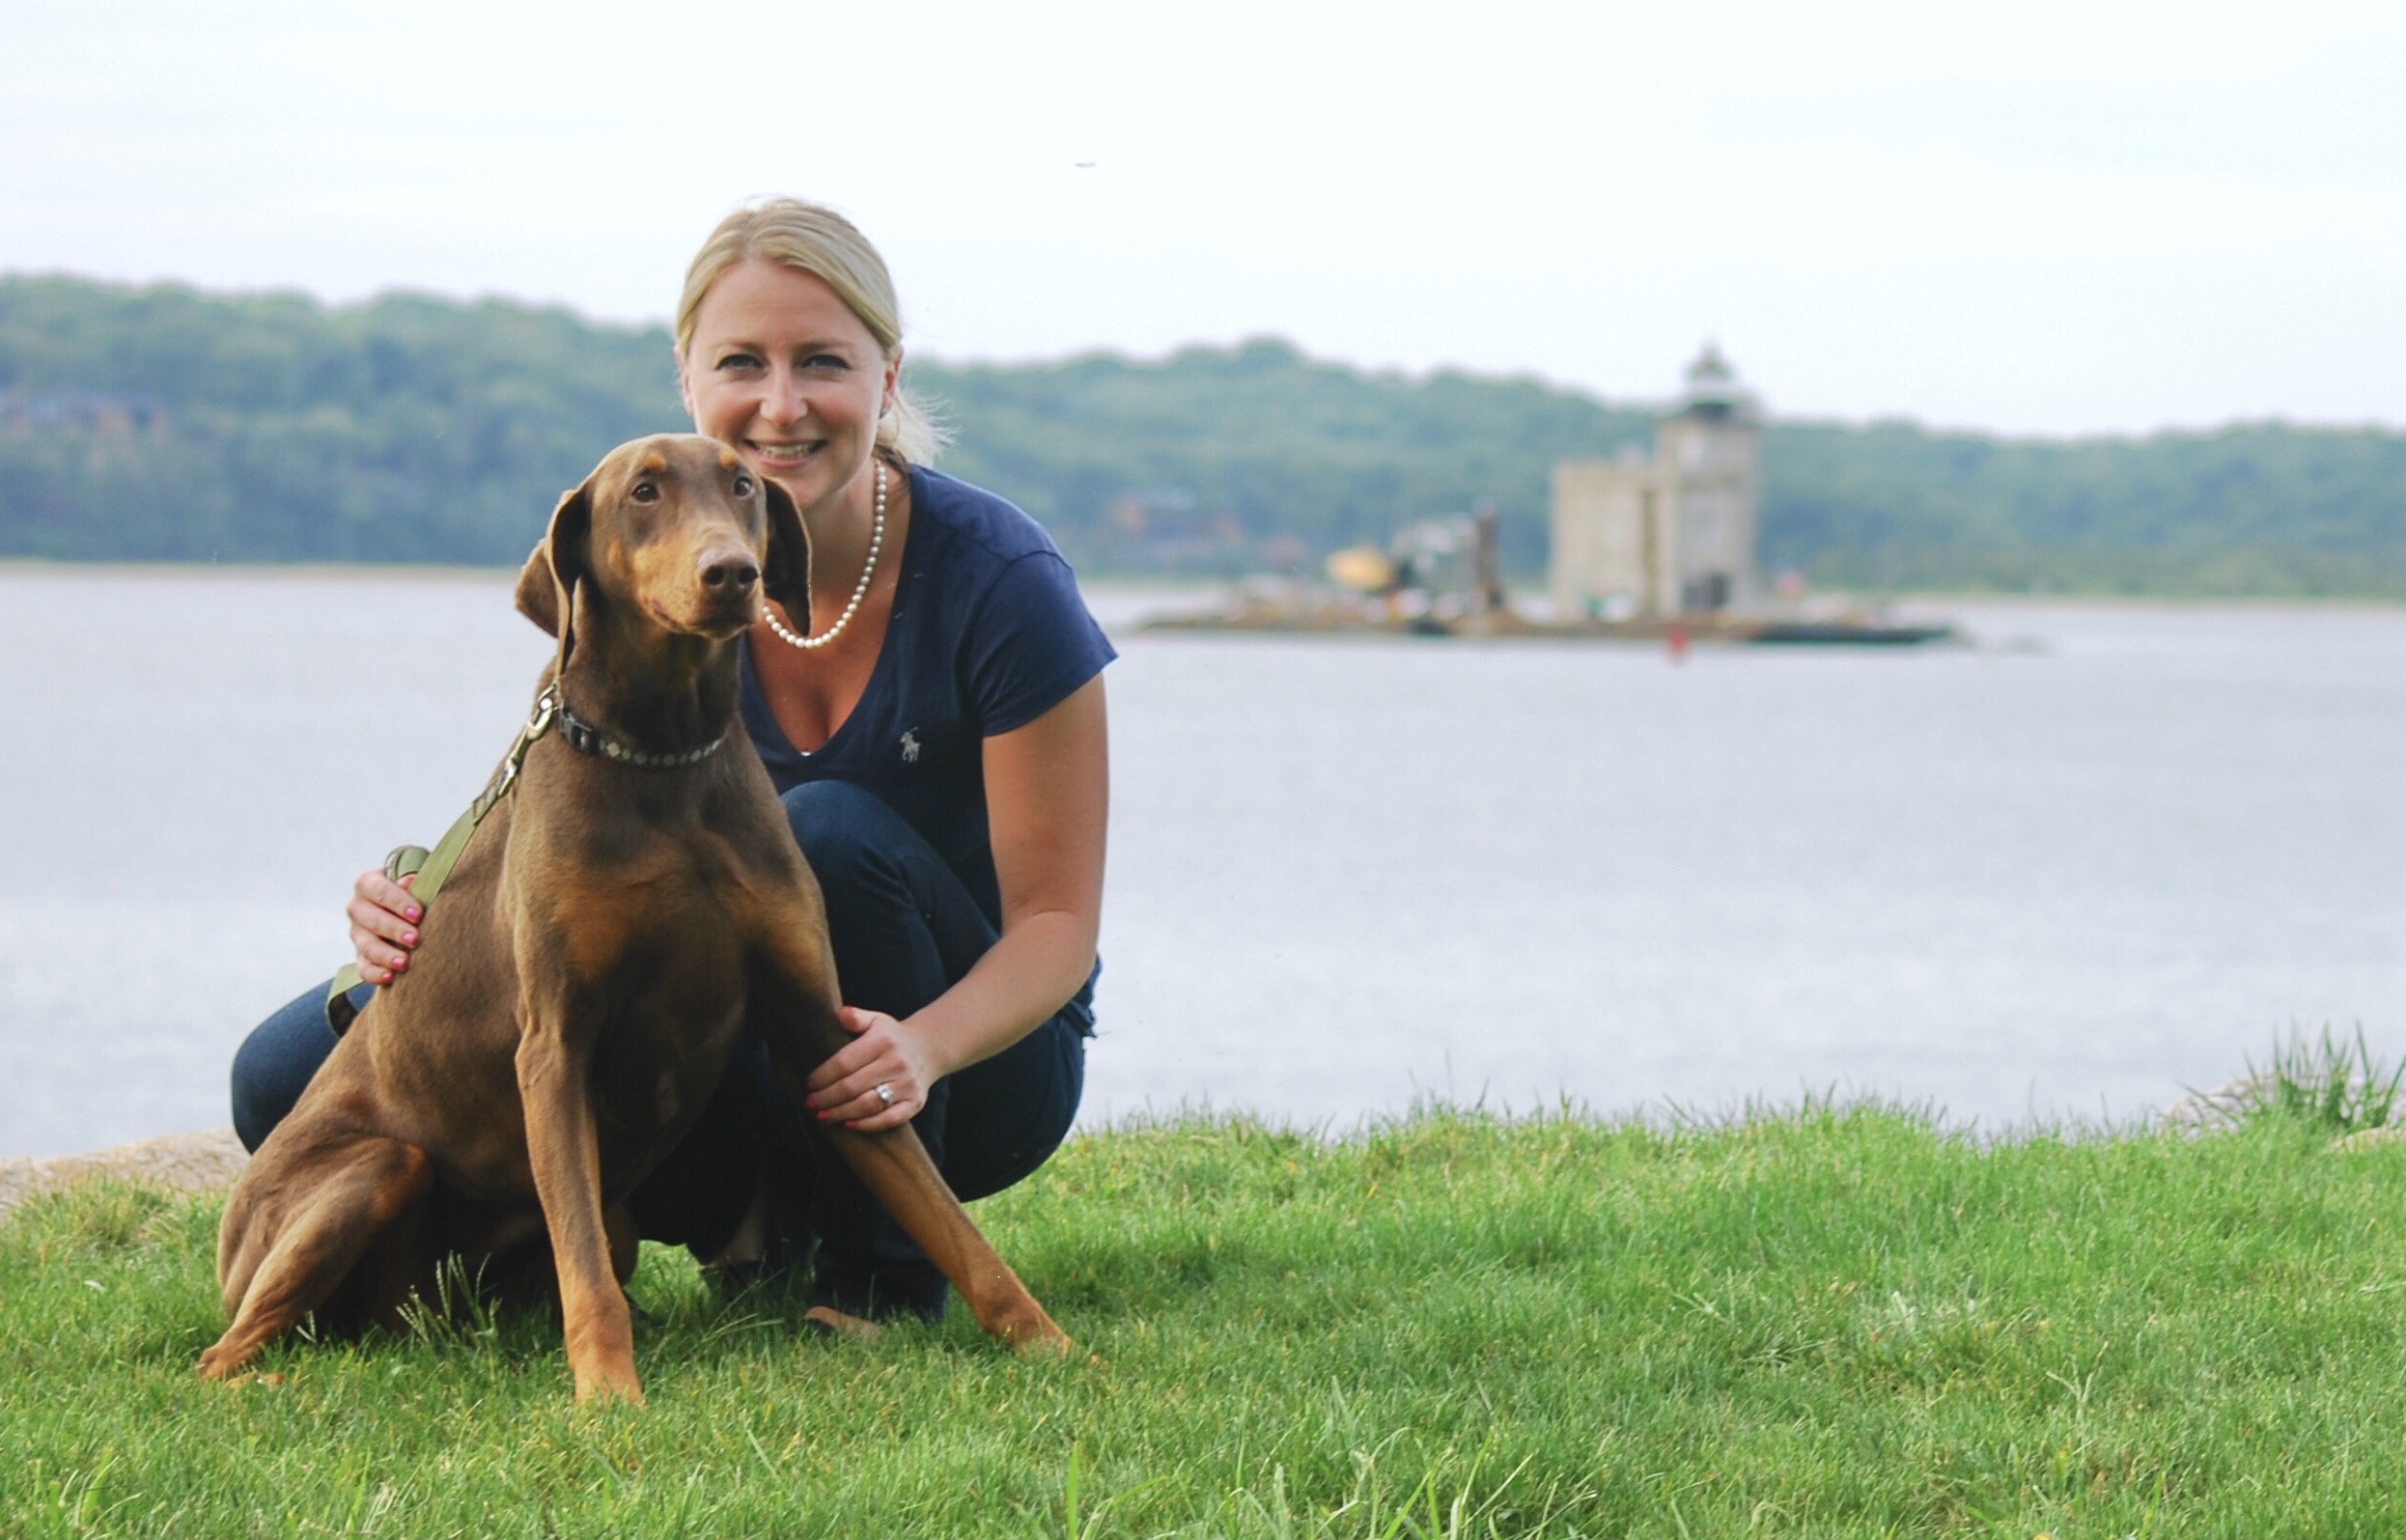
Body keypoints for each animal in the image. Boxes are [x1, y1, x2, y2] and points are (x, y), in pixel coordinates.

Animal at [202, 431, 1068, 1395]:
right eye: (642, 493)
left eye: (742, 484)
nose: (730, 573)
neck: (662, 754)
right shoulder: (554, 1044)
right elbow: (580, 1259)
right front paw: (610, 1394)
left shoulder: (821, 1035)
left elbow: (952, 1221)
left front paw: (1053, 1346)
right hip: (374, 1169)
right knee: (226, 1350)